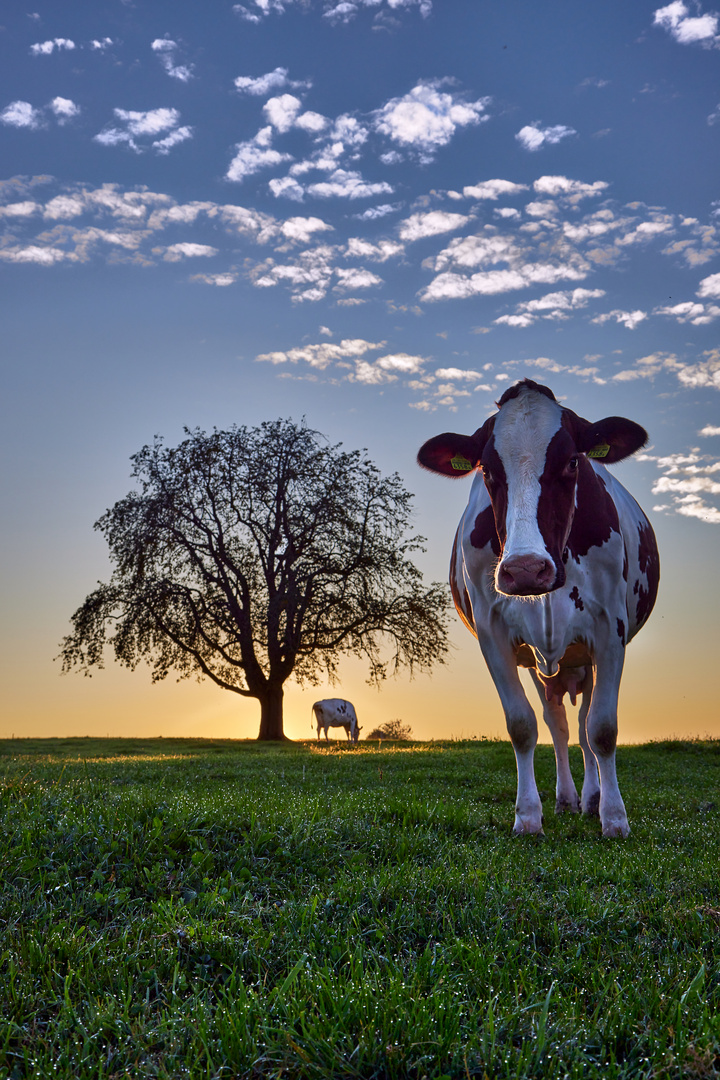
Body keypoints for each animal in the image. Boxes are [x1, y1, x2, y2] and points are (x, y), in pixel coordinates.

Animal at [418, 378, 660, 833]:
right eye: (487, 470)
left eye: (571, 462)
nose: (526, 569)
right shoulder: (493, 635)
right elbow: (523, 726)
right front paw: (528, 816)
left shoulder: (610, 631)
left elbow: (602, 729)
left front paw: (614, 817)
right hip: (541, 667)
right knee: (559, 725)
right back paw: (566, 799)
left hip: (583, 658)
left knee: (580, 727)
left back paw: (591, 798)